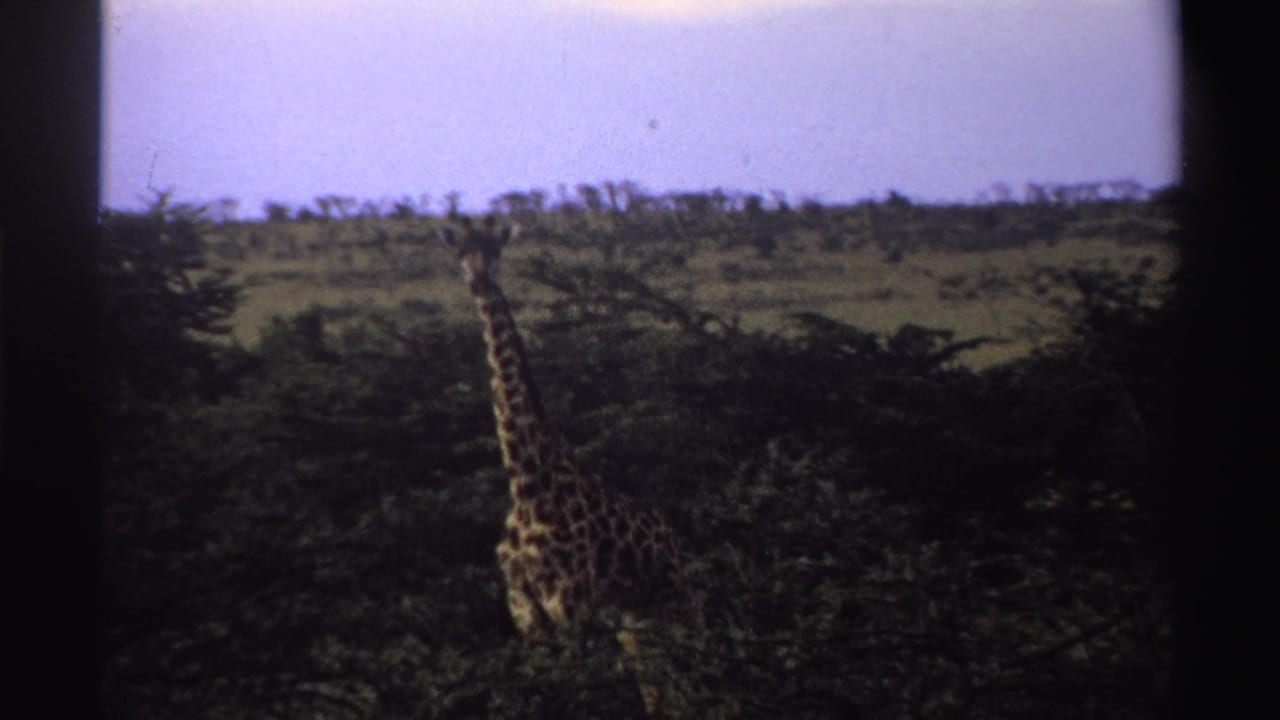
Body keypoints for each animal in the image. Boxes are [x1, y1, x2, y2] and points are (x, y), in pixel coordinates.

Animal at [441, 215, 690, 714]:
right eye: (461, 253)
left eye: (497, 251)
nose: (480, 283)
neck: (528, 484)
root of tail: (682, 547)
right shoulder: (528, 615)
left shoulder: (574, 607)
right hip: (637, 623)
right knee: (656, 688)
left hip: (674, 610)